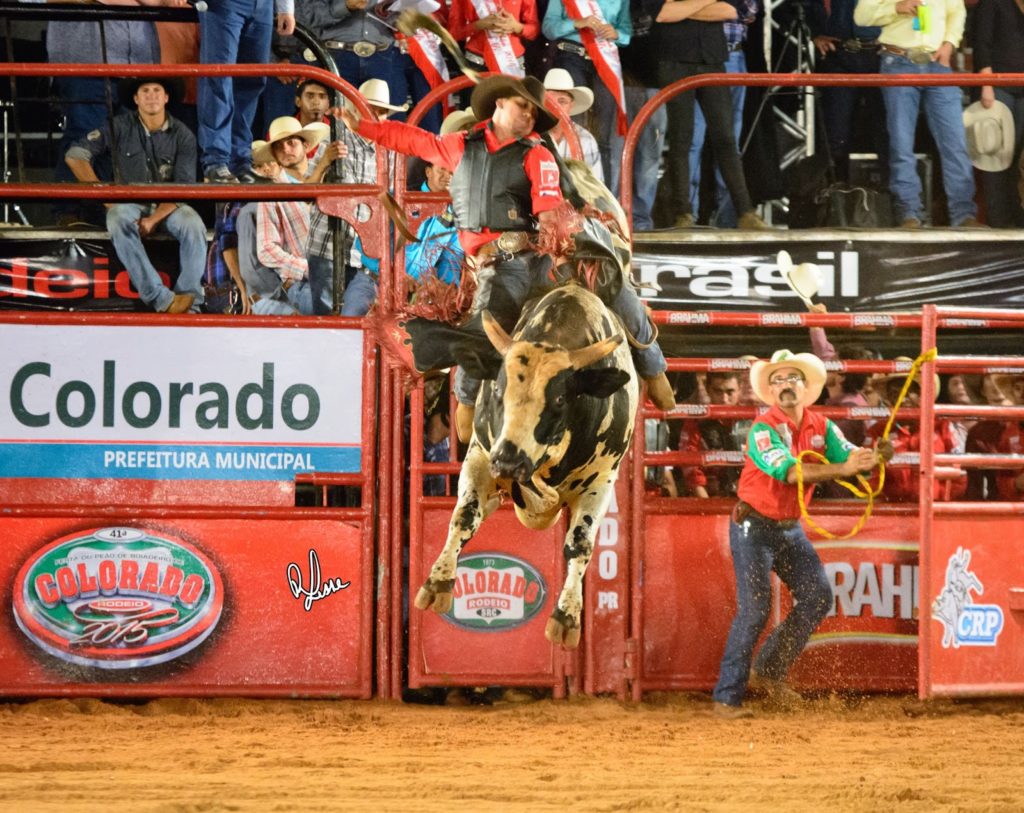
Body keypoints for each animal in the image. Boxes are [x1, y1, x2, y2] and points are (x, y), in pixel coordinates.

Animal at [411, 284, 634, 647]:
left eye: (559, 398)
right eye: (499, 389)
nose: (509, 462)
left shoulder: (601, 480)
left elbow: (579, 544)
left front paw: (566, 617)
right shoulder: (480, 456)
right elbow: (464, 516)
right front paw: (437, 583)